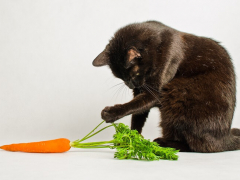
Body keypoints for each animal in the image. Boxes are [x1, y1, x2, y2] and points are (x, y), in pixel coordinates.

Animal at [92, 21, 238, 153]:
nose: (131, 85)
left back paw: (163, 143)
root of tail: (225, 138)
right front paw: (132, 138)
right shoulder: (141, 91)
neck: (155, 46)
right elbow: (138, 113)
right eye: (121, 78)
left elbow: (134, 105)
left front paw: (111, 113)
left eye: (134, 74)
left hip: (177, 93)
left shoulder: (157, 85)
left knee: (197, 146)